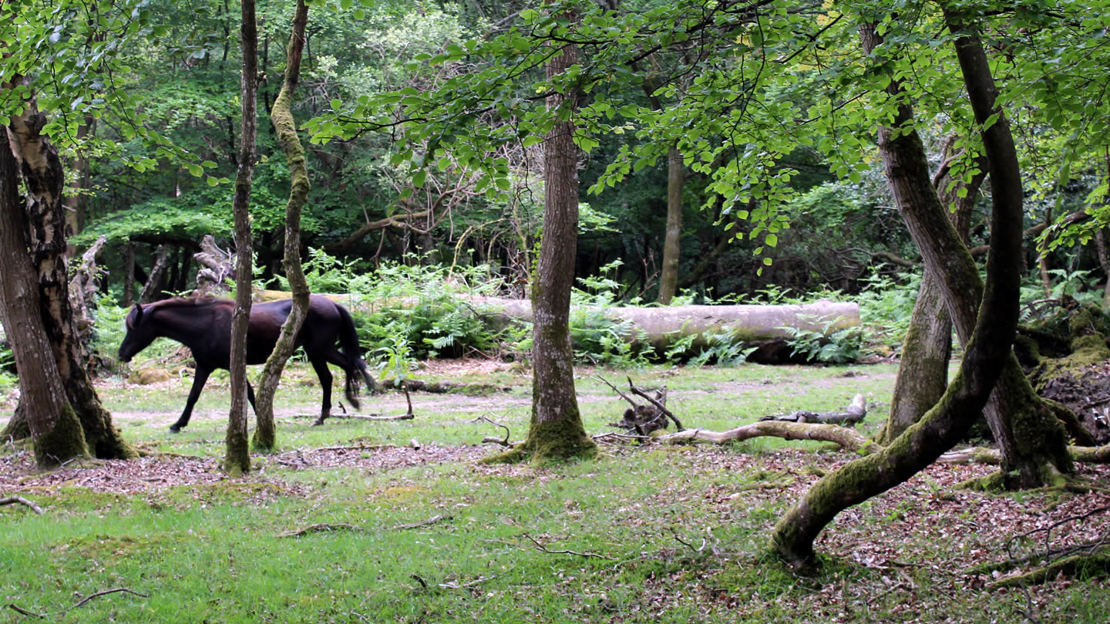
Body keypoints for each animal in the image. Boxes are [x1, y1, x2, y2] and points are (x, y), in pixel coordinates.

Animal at [118, 295, 376, 432]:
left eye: (134, 327)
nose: (121, 354)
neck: (206, 324)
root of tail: (333, 304)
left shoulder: (232, 366)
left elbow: (250, 394)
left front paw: (264, 423)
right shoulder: (205, 366)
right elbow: (193, 396)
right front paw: (178, 424)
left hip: (319, 350)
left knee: (344, 368)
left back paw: (347, 402)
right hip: (318, 352)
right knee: (336, 373)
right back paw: (329, 412)